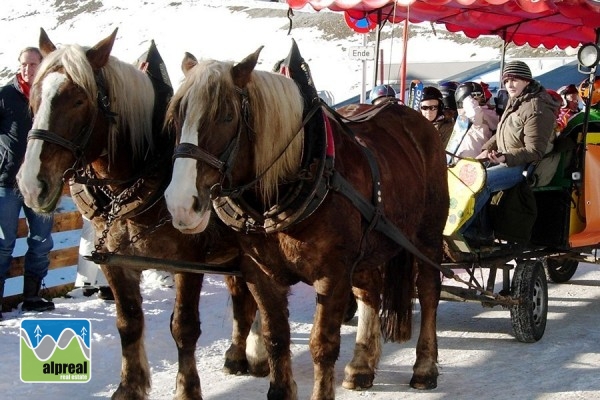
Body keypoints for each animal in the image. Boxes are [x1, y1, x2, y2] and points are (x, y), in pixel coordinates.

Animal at [17, 28, 264, 400]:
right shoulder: (116, 262)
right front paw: (130, 387)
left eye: (79, 100)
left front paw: (187, 389)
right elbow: (129, 322)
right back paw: (239, 353)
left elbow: (184, 326)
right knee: (242, 296)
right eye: (35, 96)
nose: (31, 185)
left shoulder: (188, 263)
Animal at [166, 44, 448, 400]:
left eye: (226, 116)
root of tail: (414, 118)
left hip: (427, 235)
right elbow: (276, 337)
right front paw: (279, 389)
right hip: (369, 245)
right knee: (370, 290)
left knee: (428, 291)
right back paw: (361, 365)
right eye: (176, 116)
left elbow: (322, 345)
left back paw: (424, 366)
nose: (180, 203)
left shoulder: (332, 273)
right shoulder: (259, 273)